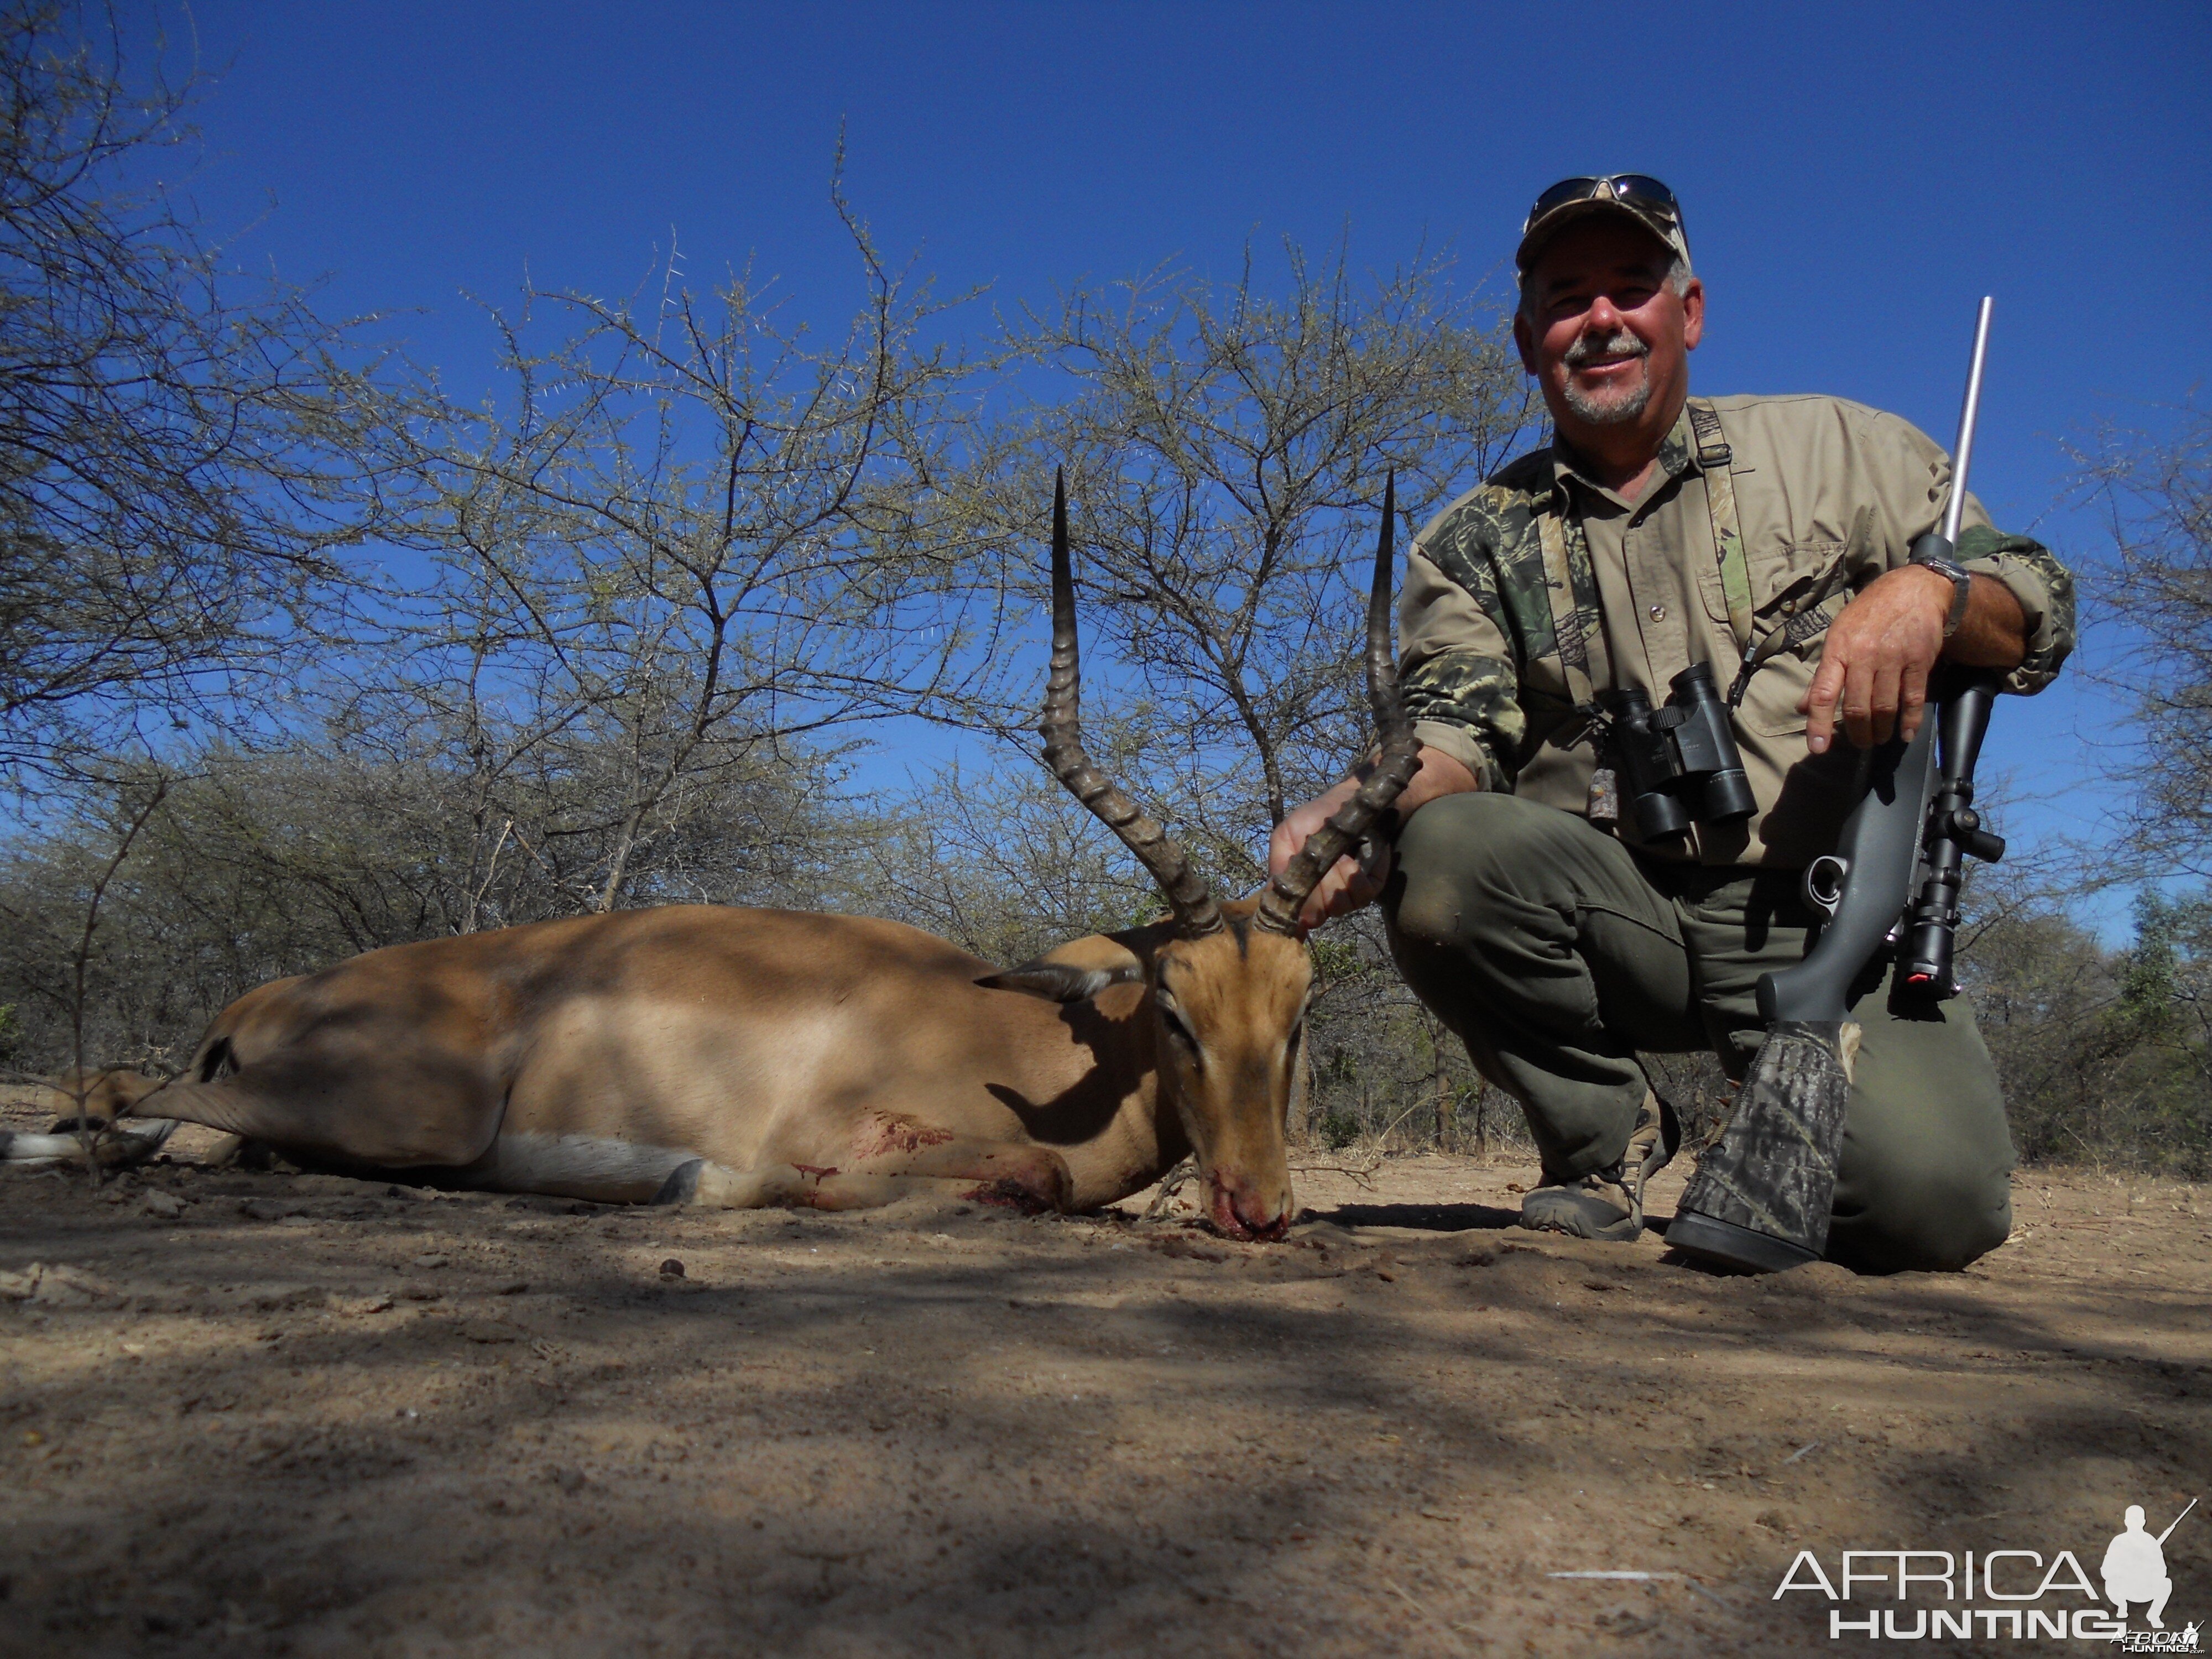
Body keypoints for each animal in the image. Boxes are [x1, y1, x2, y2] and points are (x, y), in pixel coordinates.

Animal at [30, 473, 1416, 1239]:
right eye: (1174, 1011)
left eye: (1297, 1015)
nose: (1258, 1210)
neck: (1026, 1044)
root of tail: (268, 994)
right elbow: (1011, 1176)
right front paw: (701, 1192)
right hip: (410, 1117)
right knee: (113, 1105)